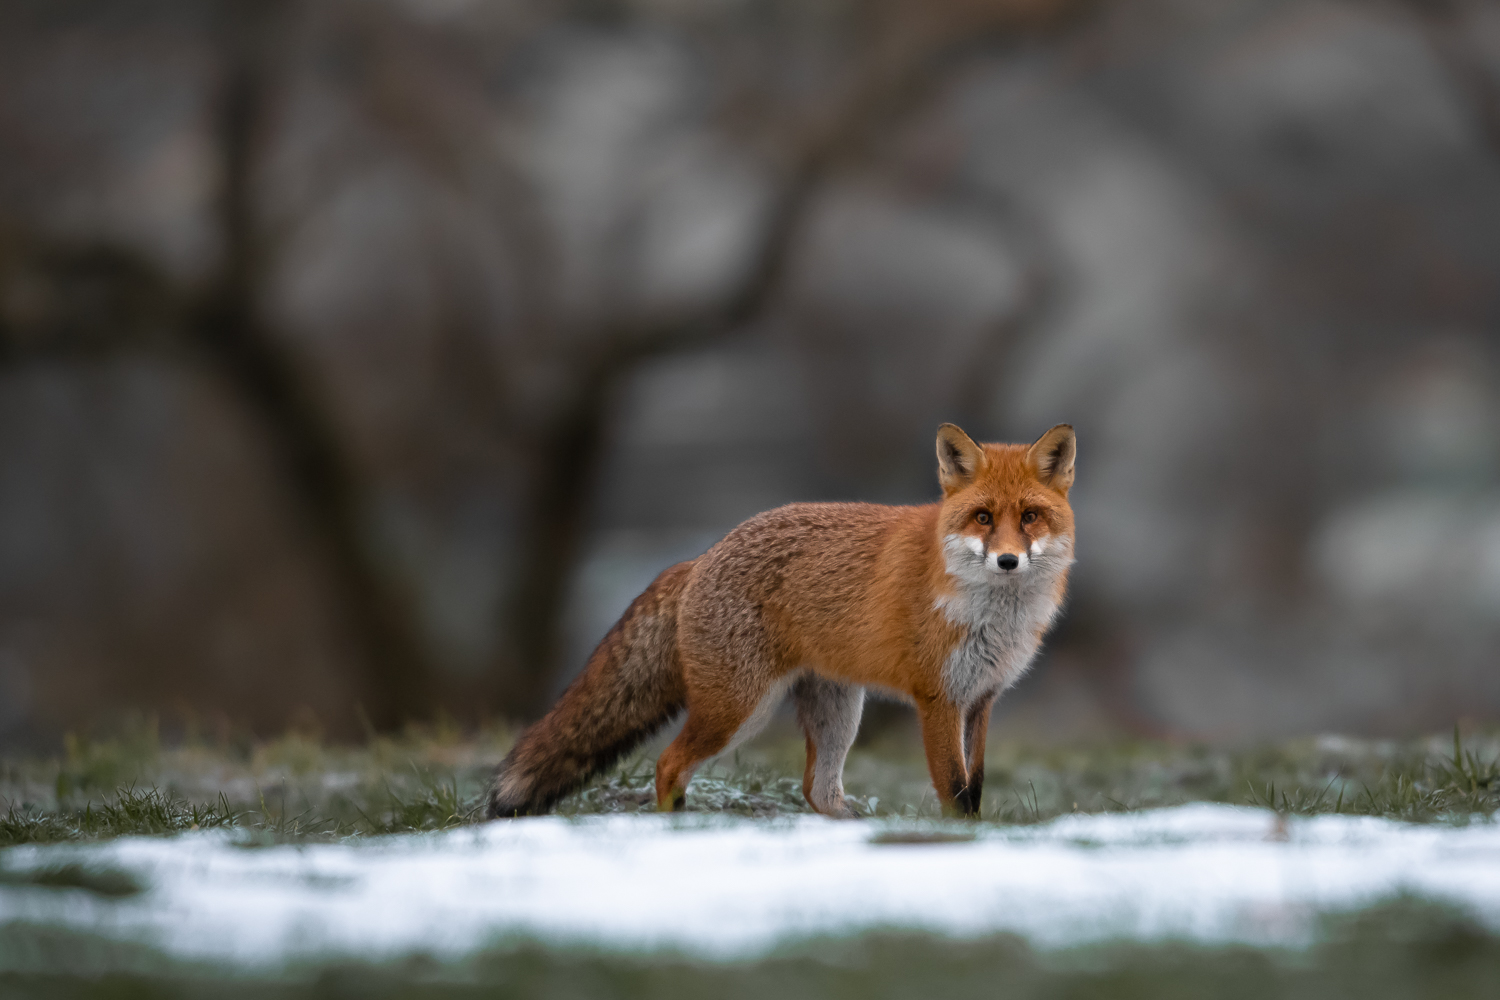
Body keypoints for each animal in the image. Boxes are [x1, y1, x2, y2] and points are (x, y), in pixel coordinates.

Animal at [492, 422, 1080, 821]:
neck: (992, 616)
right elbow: (954, 790)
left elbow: (975, 787)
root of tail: (701, 556)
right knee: (668, 763)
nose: (1008, 560)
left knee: (816, 790)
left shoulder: (981, 698)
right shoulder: (938, 699)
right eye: (983, 517)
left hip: (837, 713)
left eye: (1030, 516)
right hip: (739, 709)